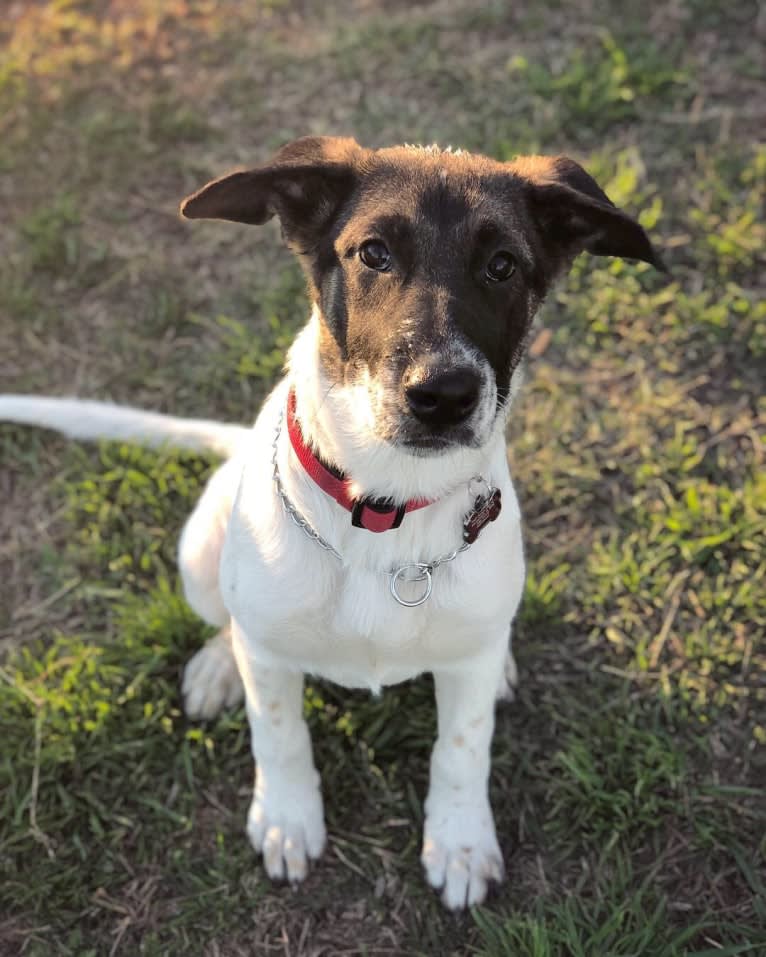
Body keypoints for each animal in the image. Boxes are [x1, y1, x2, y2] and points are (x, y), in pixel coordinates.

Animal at [0, 138, 664, 908]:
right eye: (373, 253)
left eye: (503, 265)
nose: (444, 395)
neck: (387, 509)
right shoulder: (271, 660)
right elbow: (279, 731)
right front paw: (287, 819)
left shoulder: (465, 676)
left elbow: (462, 746)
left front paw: (461, 840)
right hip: (199, 555)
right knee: (227, 622)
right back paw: (219, 667)